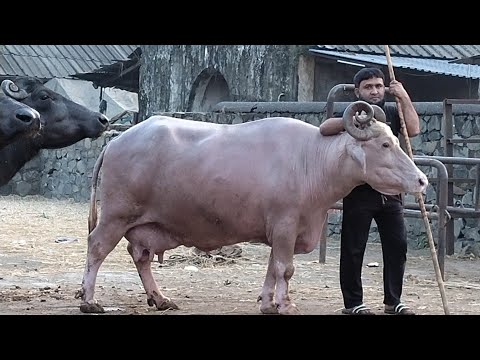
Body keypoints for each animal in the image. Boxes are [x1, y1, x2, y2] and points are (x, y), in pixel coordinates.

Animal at [77, 100, 430, 314]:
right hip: (116, 216)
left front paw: (267, 303)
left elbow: (272, 268)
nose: (422, 180)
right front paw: (286, 305)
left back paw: (160, 298)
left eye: (396, 140)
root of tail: (116, 141)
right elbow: (285, 269)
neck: (311, 160)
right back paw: (90, 300)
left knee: (140, 256)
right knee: (96, 248)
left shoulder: (282, 229)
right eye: (385, 144)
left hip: (142, 225)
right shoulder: (286, 224)